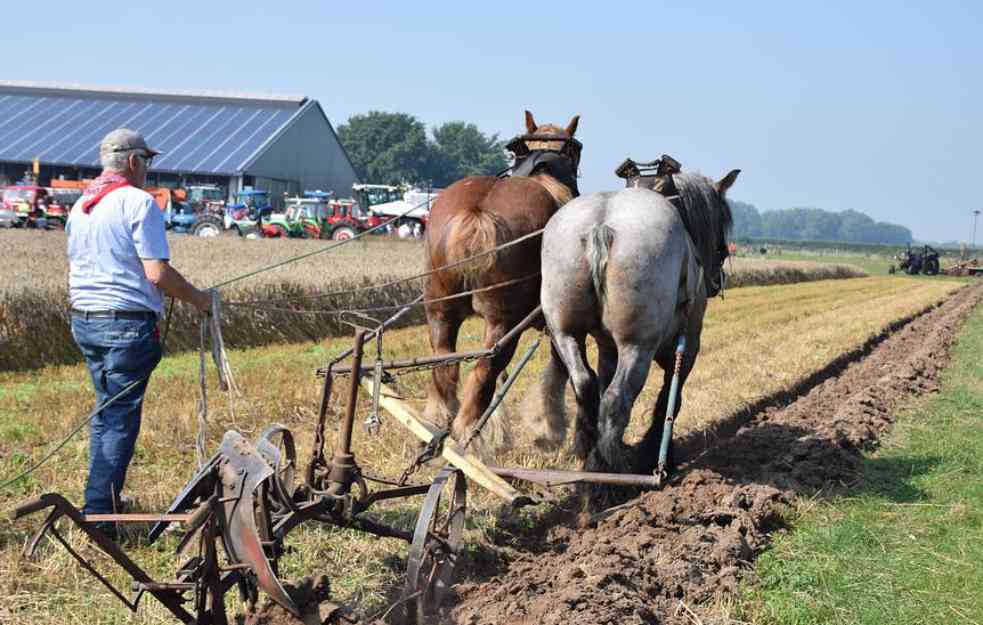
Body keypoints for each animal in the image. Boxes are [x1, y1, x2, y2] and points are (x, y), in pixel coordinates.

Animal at [420, 108, 576, 448]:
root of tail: (476, 213)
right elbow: (558, 369)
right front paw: (550, 426)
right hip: (504, 322)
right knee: (484, 370)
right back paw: (469, 435)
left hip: (440, 310)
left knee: (446, 365)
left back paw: (437, 425)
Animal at [524, 168, 736, 470]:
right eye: (720, 222)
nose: (717, 280)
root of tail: (601, 225)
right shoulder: (689, 345)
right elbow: (670, 399)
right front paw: (658, 455)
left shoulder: (607, 347)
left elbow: (603, 379)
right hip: (637, 344)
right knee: (617, 397)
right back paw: (607, 467)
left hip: (565, 333)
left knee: (586, 383)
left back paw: (588, 448)